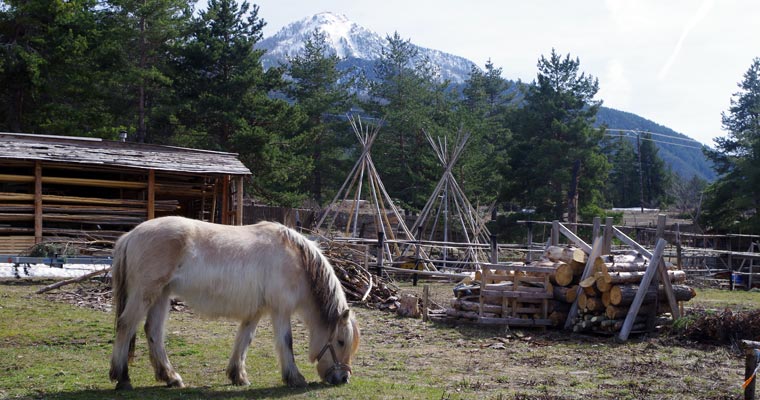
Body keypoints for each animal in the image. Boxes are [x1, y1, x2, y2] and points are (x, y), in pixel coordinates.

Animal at [108, 217, 360, 390]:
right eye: (340, 341)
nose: (344, 378)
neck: (297, 259)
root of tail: (130, 235)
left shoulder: (256, 311)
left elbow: (244, 340)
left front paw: (238, 376)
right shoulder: (280, 311)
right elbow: (286, 342)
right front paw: (295, 378)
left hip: (161, 295)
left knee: (153, 332)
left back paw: (170, 377)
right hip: (145, 294)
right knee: (126, 325)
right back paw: (123, 378)